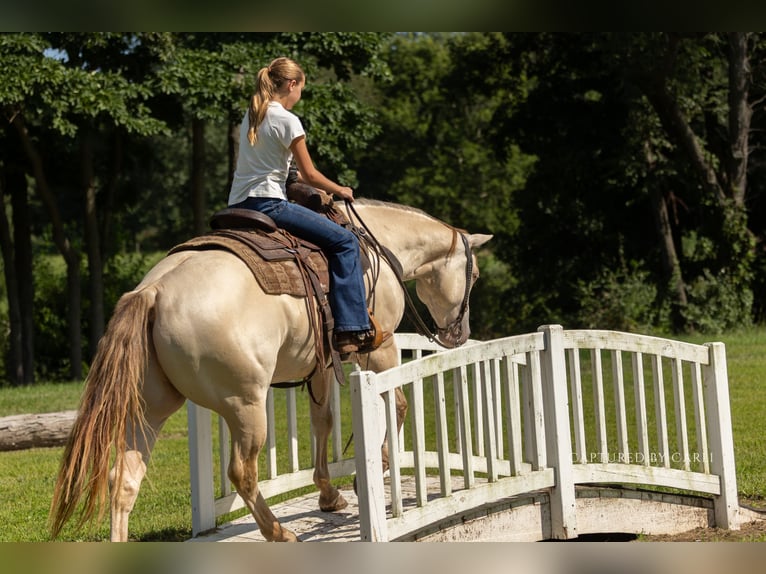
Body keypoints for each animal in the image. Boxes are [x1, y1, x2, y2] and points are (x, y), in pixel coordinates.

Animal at [49, 199, 492, 541]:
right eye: (473, 274)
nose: (459, 334)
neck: (377, 248)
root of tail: (153, 291)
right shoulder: (379, 352)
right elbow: (396, 405)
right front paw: (373, 469)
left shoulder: (320, 364)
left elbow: (322, 422)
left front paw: (329, 494)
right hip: (245, 405)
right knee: (241, 472)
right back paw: (277, 531)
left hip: (150, 409)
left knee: (123, 479)